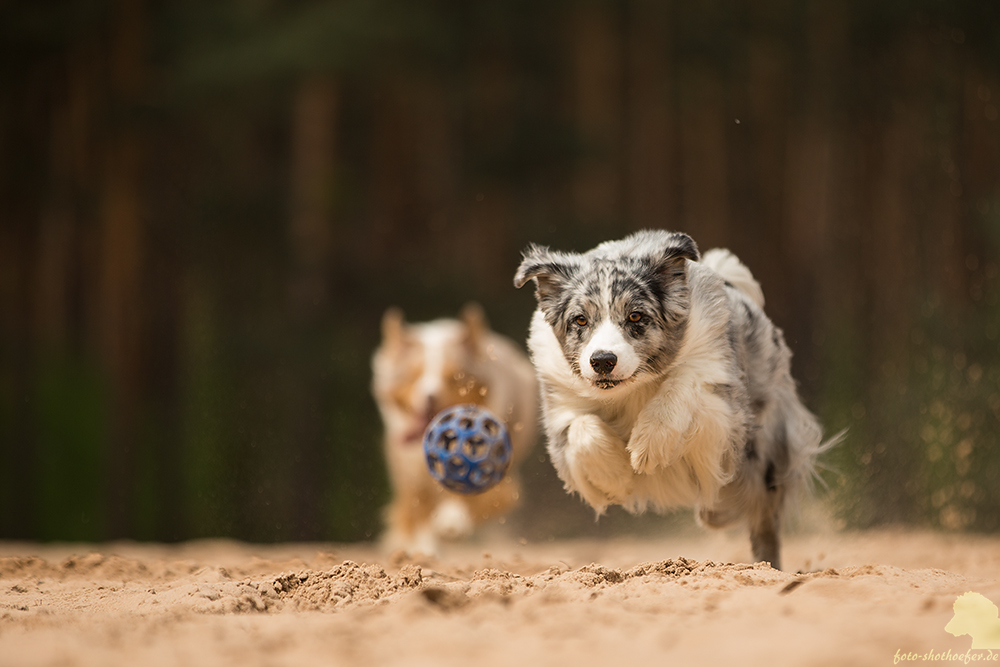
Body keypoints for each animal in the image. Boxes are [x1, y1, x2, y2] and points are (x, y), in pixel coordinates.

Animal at [370, 302, 540, 552]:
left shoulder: (495, 470)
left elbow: (474, 493)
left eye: (455, 378)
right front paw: (418, 547)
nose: (429, 397)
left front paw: (452, 522)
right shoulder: (408, 469)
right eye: (414, 375)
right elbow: (415, 509)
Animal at [516, 230, 836, 568]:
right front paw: (618, 477)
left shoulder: (724, 402)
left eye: (635, 316)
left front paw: (648, 448)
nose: (602, 360)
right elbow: (582, 428)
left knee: (758, 517)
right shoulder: (560, 411)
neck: (632, 390)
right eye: (579, 320)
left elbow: (685, 378)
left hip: (764, 459)